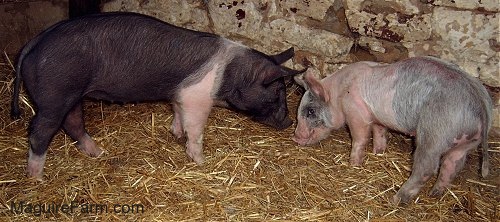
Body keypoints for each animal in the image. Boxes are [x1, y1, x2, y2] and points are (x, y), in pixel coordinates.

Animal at [10, 11, 304, 180]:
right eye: (278, 92)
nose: (289, 123)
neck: (232, 73)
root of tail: (33, 43)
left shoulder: (179, 97)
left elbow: (177, 115)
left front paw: (176, 134)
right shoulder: (196, 98)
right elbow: (196, 130)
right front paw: (200, 161)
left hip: (71, 95)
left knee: (72, 123)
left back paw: (99, 152)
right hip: (55, 94)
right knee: (40, 132)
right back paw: (37, 178)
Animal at [292, 56, 492, 205]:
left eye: (310, 111)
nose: (295, 138)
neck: (338, 95)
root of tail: (480, 103)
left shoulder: (356, 114)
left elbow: (359, 139)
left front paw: (353, 165)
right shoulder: (378, 119)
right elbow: (380, 133)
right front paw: (378, 153)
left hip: (434, 134)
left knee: (427, 168)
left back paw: (395, 200)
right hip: (467, 143)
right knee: (452, 165)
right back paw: (434, 194)